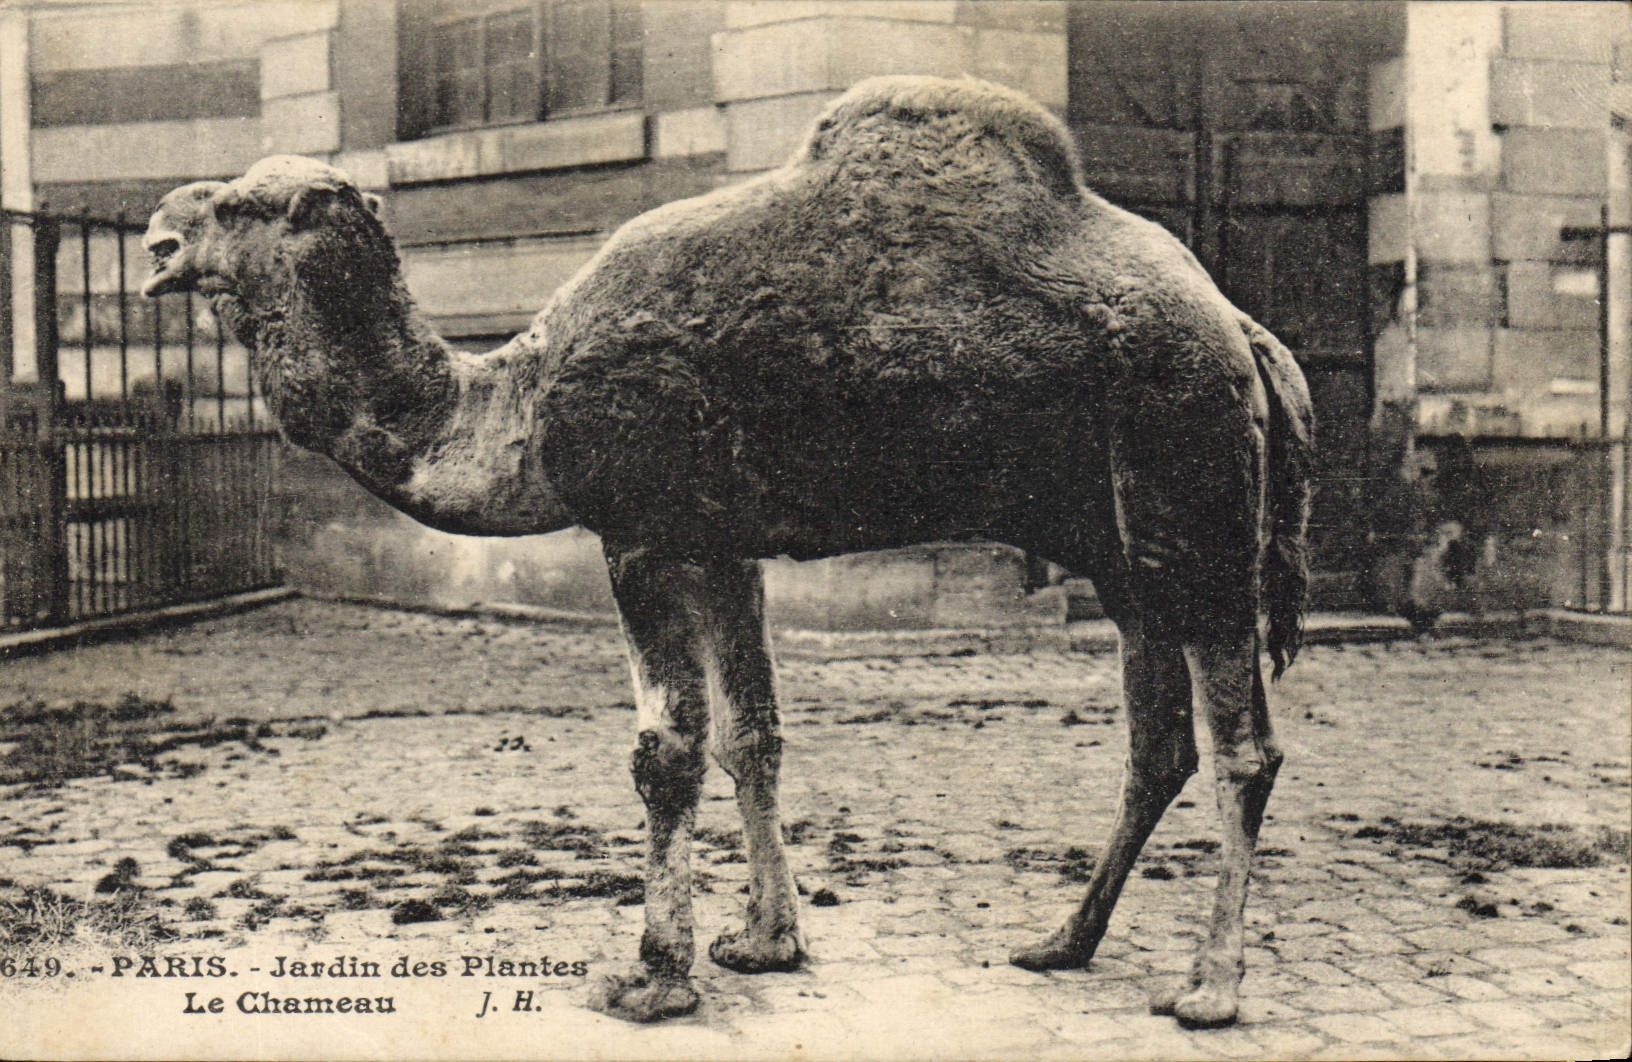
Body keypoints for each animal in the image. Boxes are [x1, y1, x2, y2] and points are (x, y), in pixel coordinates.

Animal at [142, 76, 1312, 1028]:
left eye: (240, 204)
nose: (157, 232)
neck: (511, 403)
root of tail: (1249, 336)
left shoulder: (643, 531)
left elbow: (665, 751)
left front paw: (654, 977)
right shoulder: (722, 545)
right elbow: (754, 734)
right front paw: (763, 942)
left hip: (1193, 494)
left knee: (1241, 748)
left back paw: (1209, 990)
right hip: (1127, 553)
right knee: (1156, 746)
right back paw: (1062, 943)